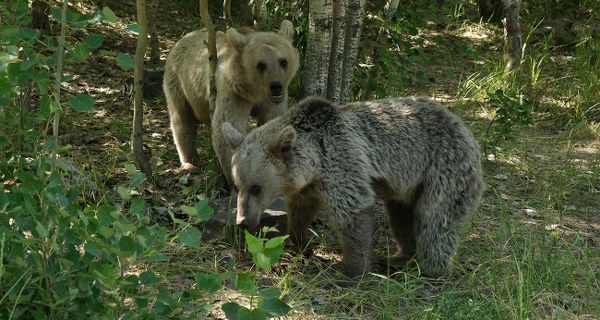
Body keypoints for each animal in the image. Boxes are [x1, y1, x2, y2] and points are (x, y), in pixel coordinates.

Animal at [163, 20, 298, 188]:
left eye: (283, 61)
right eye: (261, 65)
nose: (276, 86)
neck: (254, 93)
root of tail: (183, 38)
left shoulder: (270, 103)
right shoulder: (233, 93)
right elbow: (227, 129)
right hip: (179, 83)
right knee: (182, 120)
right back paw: (189, 163)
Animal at [223, 95, 486, 278]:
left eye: (256, 187)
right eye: (237, 185)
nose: (242, 221)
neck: (315, 163)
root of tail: (463, 126)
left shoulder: (343, 165)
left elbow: (353, 214)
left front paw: (352, 269)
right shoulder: (309, 187)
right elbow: (300, 212)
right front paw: (299, 243)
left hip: (443, 168)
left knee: (437, 220)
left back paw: (431, 269)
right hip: (408, 187)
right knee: (401, 217)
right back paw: (400, 257)